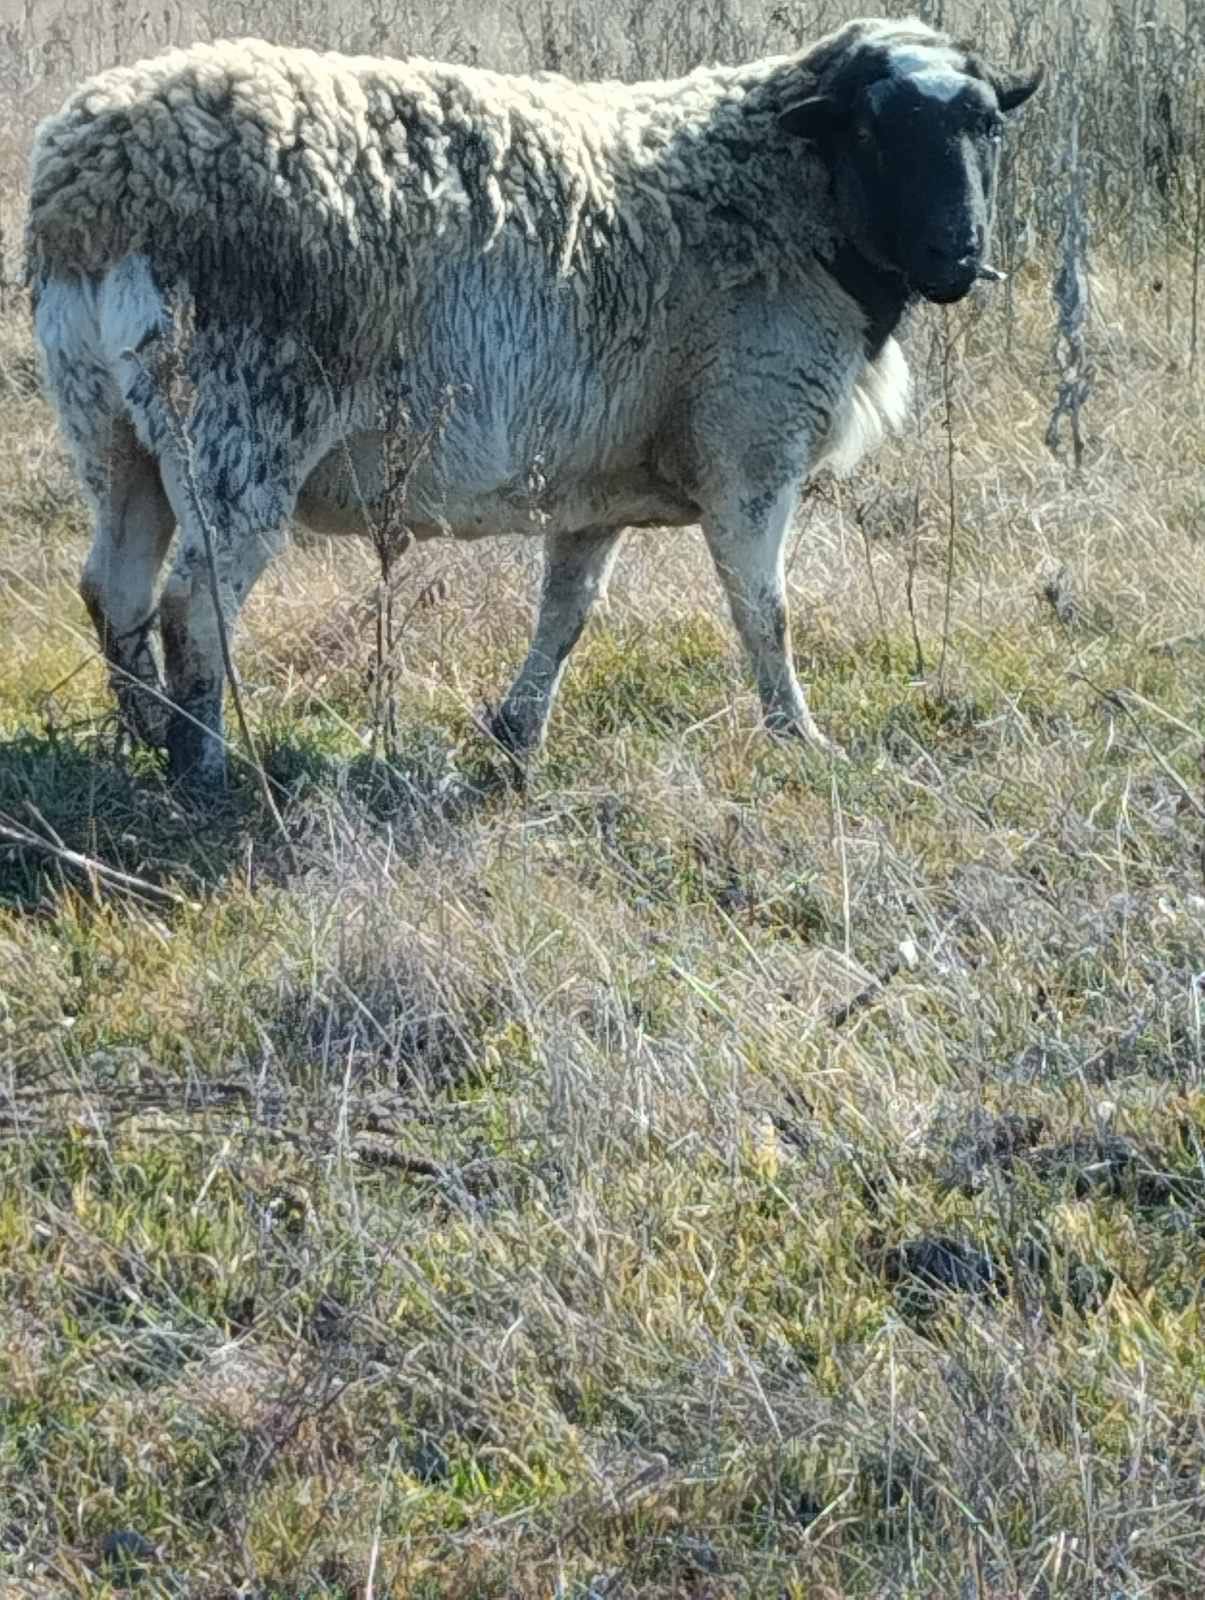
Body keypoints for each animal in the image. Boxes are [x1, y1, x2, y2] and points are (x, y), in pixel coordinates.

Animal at [23, 12, 1036, 787]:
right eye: (871, 130)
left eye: (987, 128)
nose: (956, 254)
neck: (791, 195)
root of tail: (94, 182)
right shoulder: (751, 447)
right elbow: (763, 610)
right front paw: (798, 738)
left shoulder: (594, 483)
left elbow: (567, 613)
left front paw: (517, 734)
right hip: (239, 425)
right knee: (193, 603)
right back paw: (204, 771)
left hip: (109, 424)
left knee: (113, 585)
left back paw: (144, 738)